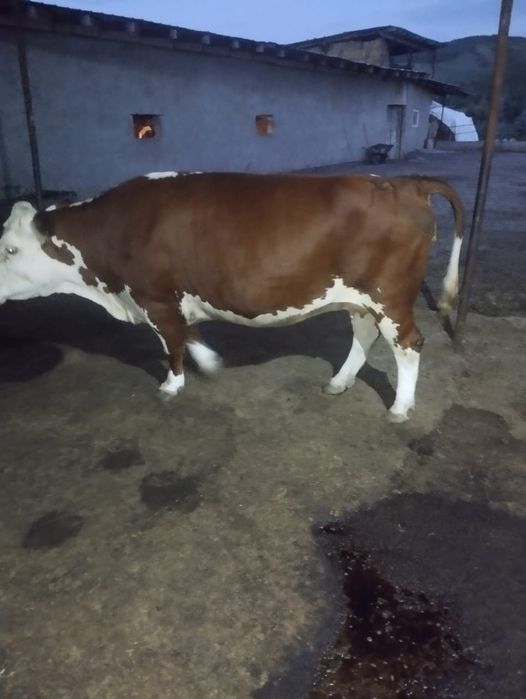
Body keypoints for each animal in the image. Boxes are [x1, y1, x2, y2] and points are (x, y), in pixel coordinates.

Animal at [0, 171, 463, 422]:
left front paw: (173, 384)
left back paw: (400, 407)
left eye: (10, 250)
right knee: (365, 336)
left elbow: (173, 343)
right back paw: (338, 382)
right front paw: (210, 362)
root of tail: (405, 183)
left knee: (408, 344)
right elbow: (188, 335)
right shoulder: (172, 299)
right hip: (359, 296)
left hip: (391, 295)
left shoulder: (156, 297)